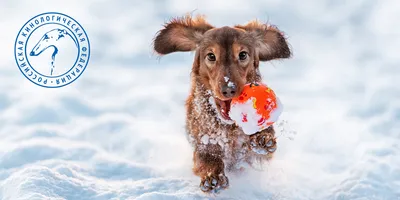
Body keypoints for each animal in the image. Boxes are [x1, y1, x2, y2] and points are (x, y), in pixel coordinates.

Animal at [152, 14, 290, 193]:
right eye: (211, 56)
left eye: (243, 55)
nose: (228, 89)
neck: (228, 127)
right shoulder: (203, 141)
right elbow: (207, 158)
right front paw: (213, 177)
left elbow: (265, 144)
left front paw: (262, 138)